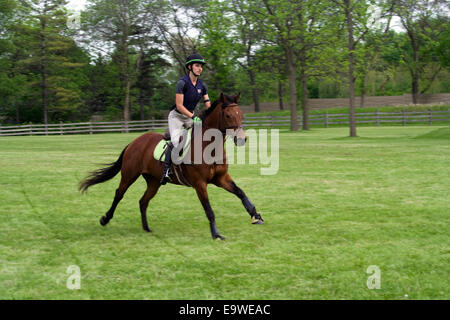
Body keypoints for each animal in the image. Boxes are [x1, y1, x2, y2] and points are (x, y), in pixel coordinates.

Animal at [79, 93, 264, 240]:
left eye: (240, 114)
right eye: (227, 115)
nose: (242, 139)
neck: (210, 146)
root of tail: (134, 142)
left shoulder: (221, 178)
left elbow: (240, 193)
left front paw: (256, 216)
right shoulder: (200, 184)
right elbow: (209, 209)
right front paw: (216, 234)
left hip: (154, 181)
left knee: (143, 201)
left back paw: (146, 228)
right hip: (129, 174)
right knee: (119, 194)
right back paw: (105, 219)